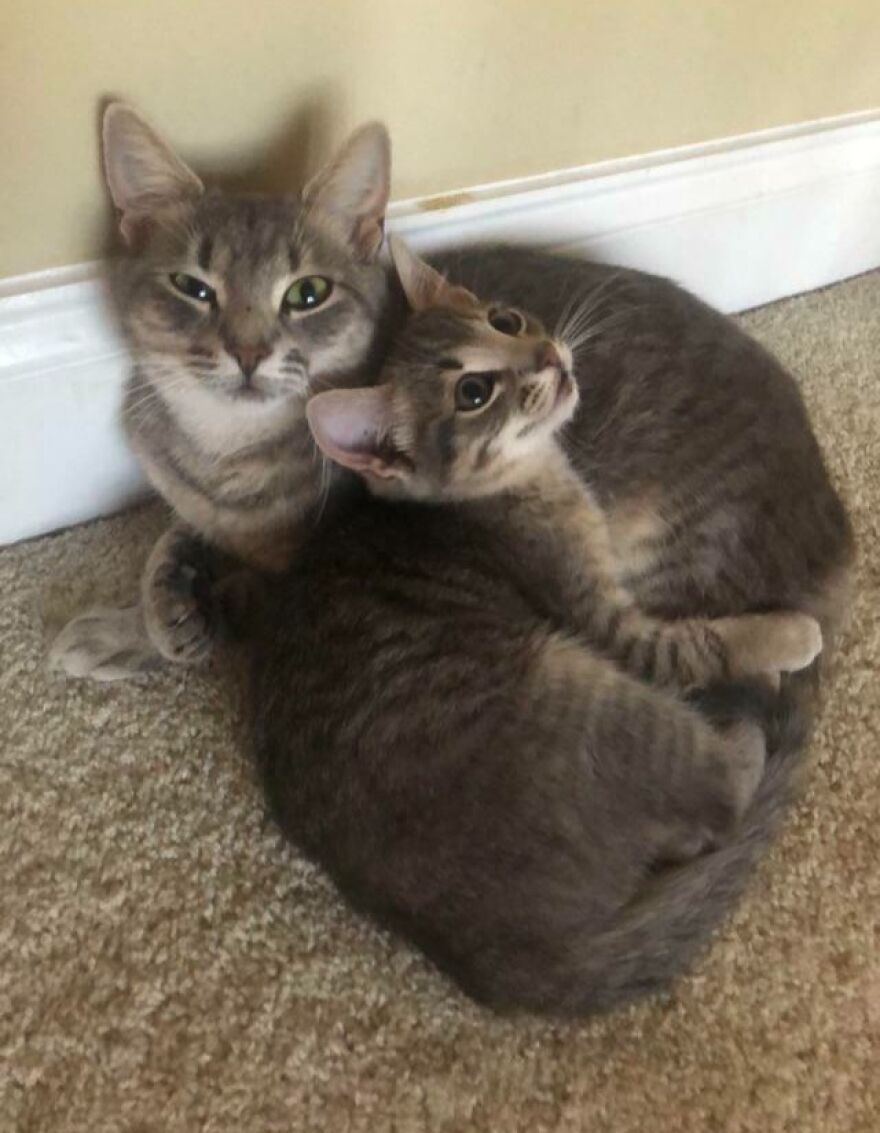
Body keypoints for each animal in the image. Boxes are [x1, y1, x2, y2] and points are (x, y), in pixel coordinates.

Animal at [249, 241, 824, 1019]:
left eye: (505, 318)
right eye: (473, 393)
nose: (549, 354)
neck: (510, 485)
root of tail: (499, 957)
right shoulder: (606, 623)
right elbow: (700, 641)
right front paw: (788, 635)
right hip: (586, 691)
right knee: (723, 790)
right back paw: (753, 707)